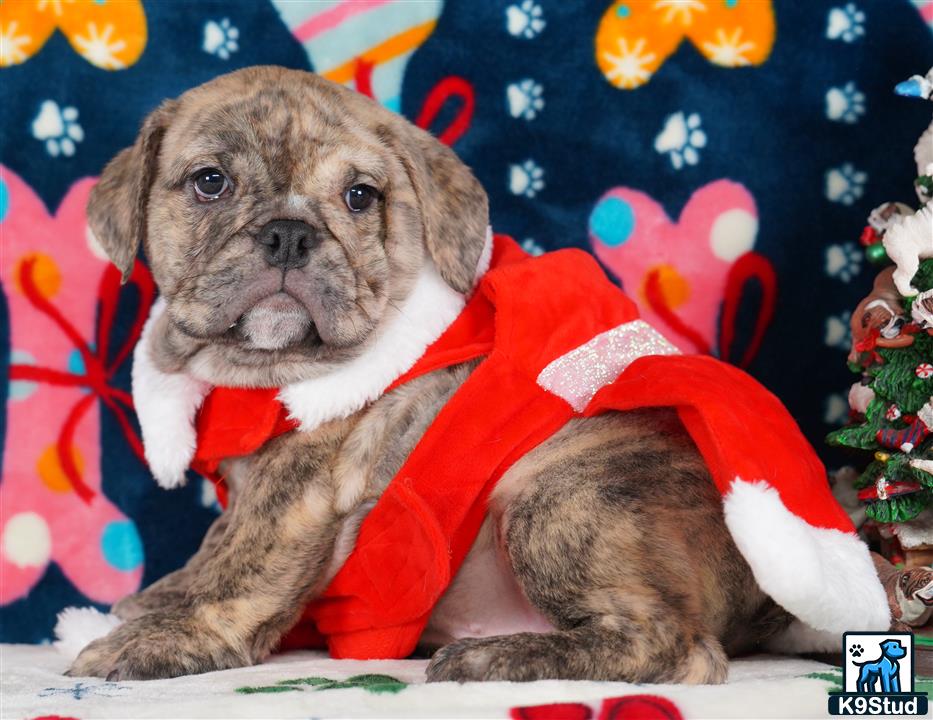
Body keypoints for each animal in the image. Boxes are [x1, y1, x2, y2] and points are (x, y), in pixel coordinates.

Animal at [69, 69, 788, 688]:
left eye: (360, 196)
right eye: (210, 182)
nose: (289, 234)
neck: (255, 371)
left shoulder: (297, 484)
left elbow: (241, 568)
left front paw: (169, 636)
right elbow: (213, 545)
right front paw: (159, 598)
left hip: (559, 498)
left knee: (676, 646)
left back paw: (497, 659)